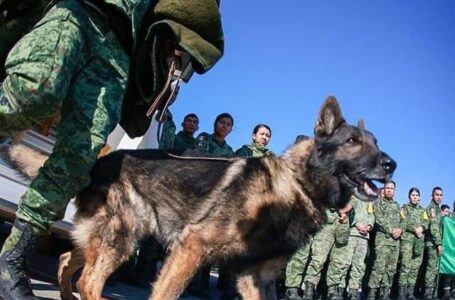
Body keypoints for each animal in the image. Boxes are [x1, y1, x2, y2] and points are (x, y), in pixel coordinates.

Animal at [1, 96, 396, 300]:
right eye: (352, 142)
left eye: (376, 143)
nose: (391, 164)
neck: (296, 185)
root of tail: (100, 161)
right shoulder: (192, 247)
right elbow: (166, 293)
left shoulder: (255, 278)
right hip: (124, 237)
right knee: (90, 280)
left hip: (112, 236)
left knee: (68, 258)